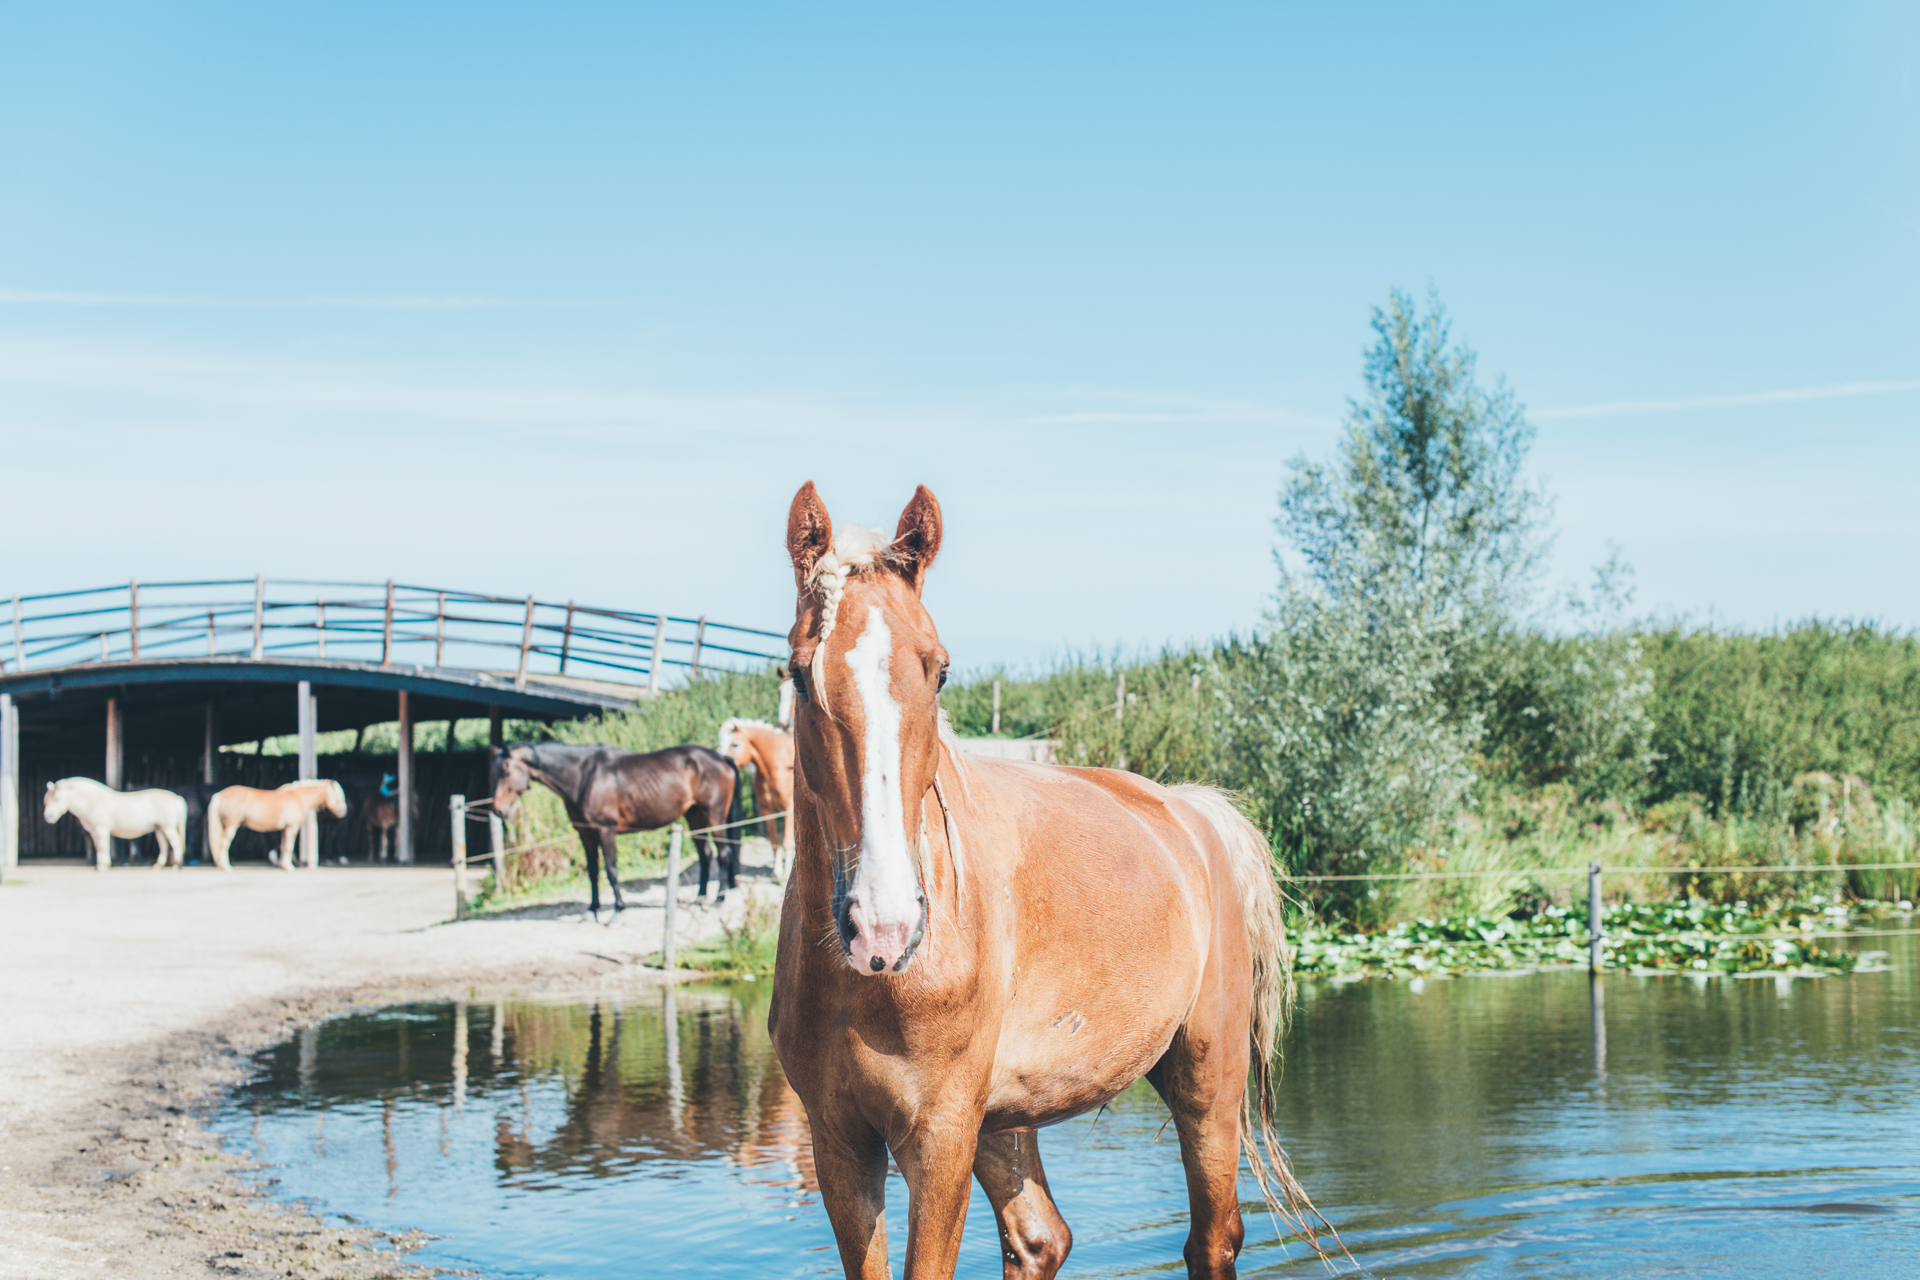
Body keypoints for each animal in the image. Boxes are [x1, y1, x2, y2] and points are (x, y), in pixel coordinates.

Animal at [43, 782, 191, 871]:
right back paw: (157, 866)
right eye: (46, 800)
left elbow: (103, 847)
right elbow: (99, 848)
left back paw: (177, 866)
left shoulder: (101, 829)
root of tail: (176, 798)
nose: (47, 816)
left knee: (176, 843)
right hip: (159, 829)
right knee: (164, 846)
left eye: (57, 799)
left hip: (168, 828)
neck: (92, 801)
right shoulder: (94, 832)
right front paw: (100, 865)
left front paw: (103, 867)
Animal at [206, 782, 349, 871]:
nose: (343, 811)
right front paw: (289, 867)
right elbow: (289, 846)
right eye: (337, 796)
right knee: (224, 843)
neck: (298, 798)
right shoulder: (292, 826)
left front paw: (282, 865)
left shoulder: (285, 828)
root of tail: (220, 794)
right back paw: (226, 866)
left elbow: (283, 845)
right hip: (232, 824)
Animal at [487, 740, 741, 921]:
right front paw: (592, 910)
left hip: (715, 816)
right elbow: (592, 871)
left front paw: (618, 911)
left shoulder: (605, 831)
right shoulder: (586, 834)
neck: (584, 777)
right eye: (495, 772)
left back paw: (719, 900)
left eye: (507, 771)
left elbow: (611, 871)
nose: (498, 810)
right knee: (706, 855)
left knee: (723, 854)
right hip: (694, 816)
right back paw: (700, 899)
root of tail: (722, 758)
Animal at [714, 717, 794, 886]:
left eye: (735, 744)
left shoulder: (789, 809)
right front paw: (777, 873)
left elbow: (786, 842)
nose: (722, 762)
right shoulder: (767, 810)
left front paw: (785, 874)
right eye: (720, 743)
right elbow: (775, 842)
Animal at [771, 479, 1328, 1280]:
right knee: (1041, 1238)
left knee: (1211, 1238)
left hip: (1206, 1082)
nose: (884, 925)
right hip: (1005, 1120)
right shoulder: (841, 1143)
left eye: (939, 669)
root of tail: (1189, 812)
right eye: (797, 672)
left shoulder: (939, 1135)